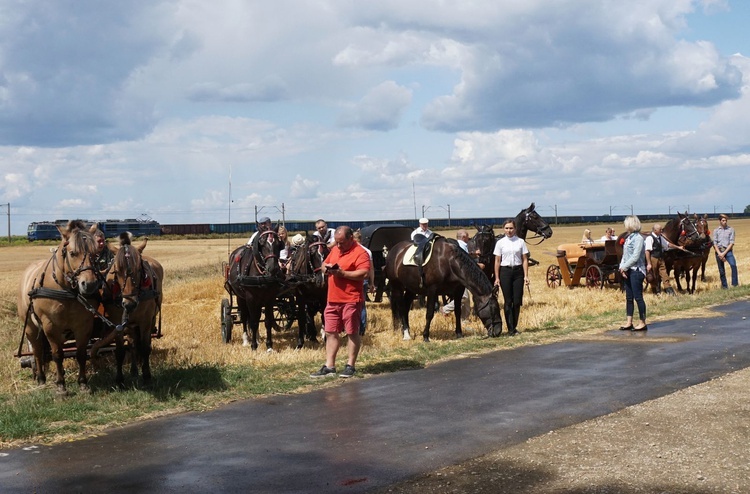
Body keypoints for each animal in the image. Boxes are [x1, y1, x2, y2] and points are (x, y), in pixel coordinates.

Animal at [17, 220, 102, 394]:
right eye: (72, 253)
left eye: (95, 253)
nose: (89, 285)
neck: (67, 292)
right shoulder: (50, 326)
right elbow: (57, 355)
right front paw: (61, 386)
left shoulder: (83, 325)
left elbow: (81, 354)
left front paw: (82, 383)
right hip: (30, 327)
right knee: (37, 351)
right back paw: (41, 378)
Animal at [90, 233, 163, 388]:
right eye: (116, 271)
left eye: (139, 270)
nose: (129, 304)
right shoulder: (118, 323)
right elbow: (120, 351)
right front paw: (119, 379)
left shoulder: (146, 321)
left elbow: (145, 348)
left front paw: (147, 376)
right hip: (129, 325)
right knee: (132, 343)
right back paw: (134, 370)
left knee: (141, 344)